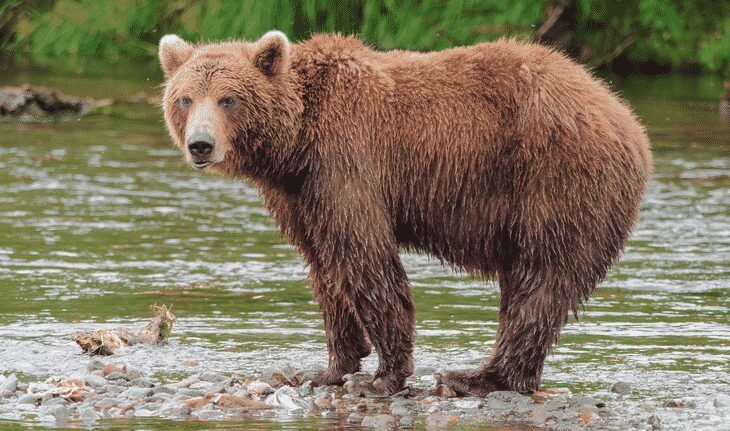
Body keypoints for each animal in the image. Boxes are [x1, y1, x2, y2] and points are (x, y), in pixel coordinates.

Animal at [158, 31, 648, 398]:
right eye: (185, 98)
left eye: (228, 99)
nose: (200, 145)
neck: (294, 144)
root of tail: (627, 119)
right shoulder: (301, 197)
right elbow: (325, 269)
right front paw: (329, 367)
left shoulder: (347, 162)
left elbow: (366, 258)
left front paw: (383, 377)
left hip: (555, 181)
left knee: (541, 280)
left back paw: (477, 377)